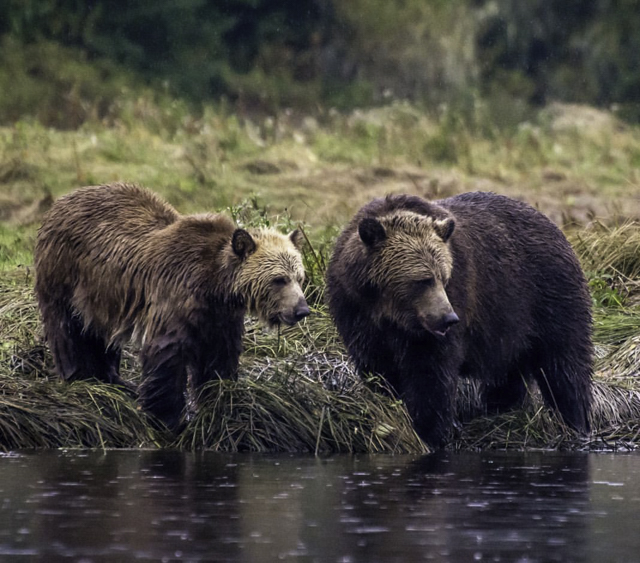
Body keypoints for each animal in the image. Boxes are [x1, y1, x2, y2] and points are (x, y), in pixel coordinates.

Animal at [35, 183, 310, 430]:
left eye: (300, 277)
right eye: (279, 279)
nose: (302, 310)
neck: (216, 285)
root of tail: (61, 200)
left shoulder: (221, 317)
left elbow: (218, 359)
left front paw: (218, 402)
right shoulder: (175, 296)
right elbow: (166, 355)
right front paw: (167, 417)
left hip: (102, 297)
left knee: (101, 334)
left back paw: (113, 379)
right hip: (65, 273)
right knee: (68, 329)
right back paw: (80, 375)